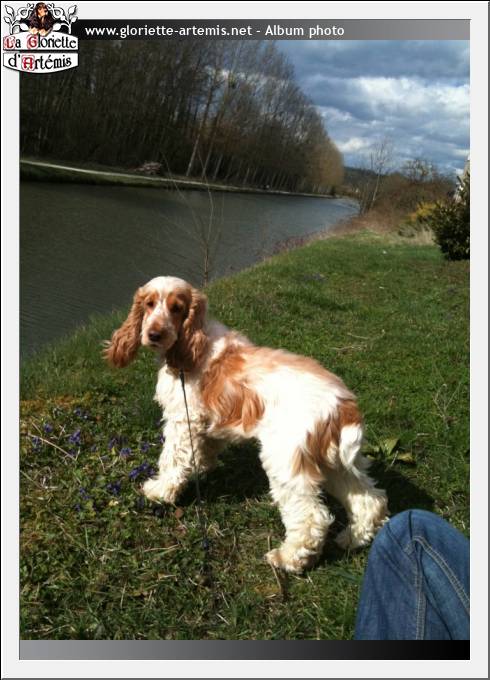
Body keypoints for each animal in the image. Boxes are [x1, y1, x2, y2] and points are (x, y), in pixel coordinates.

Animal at [105, 276, 388, 572]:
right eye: (149, 304)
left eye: (177, 308)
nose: (154, 334)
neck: (192, 342)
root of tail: (343, 406)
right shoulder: (206, 421)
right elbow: (205, 448)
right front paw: (200, 468)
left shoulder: (183, 419)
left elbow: (172, 458)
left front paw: (160, 491)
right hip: (336, 463)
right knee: (370, 499)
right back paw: (351, 539)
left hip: (286, 465)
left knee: (313, 518)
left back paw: (288, 559)